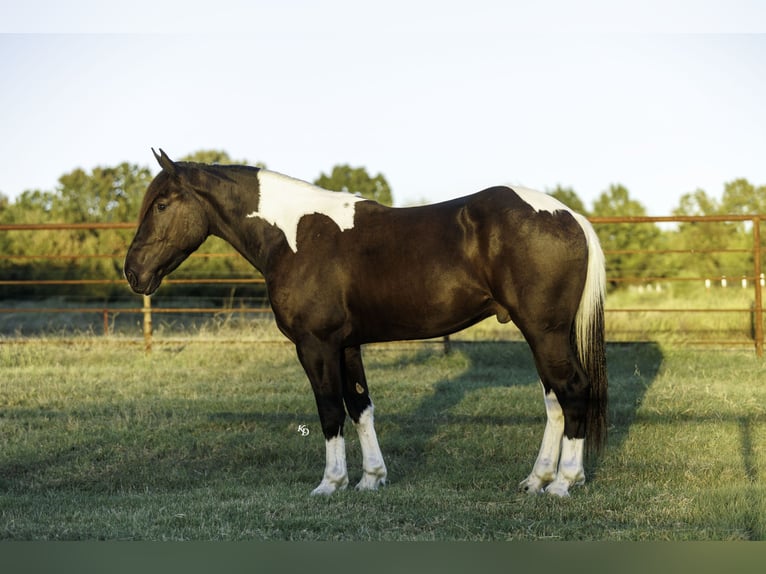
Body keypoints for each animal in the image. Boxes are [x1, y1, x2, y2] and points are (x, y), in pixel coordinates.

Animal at [124, 149, 607, 497]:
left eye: (162, 204)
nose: (132, 272)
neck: (294, 235)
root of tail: (569, 216)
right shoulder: (346, 345)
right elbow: (360, 408)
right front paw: (371, 478)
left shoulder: (315, 345)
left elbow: (330, 411)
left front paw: (330, 484)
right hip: (546, 334)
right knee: (554, 401)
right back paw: (538, 479)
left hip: (543, 332)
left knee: (572, 391)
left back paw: (564, 482)